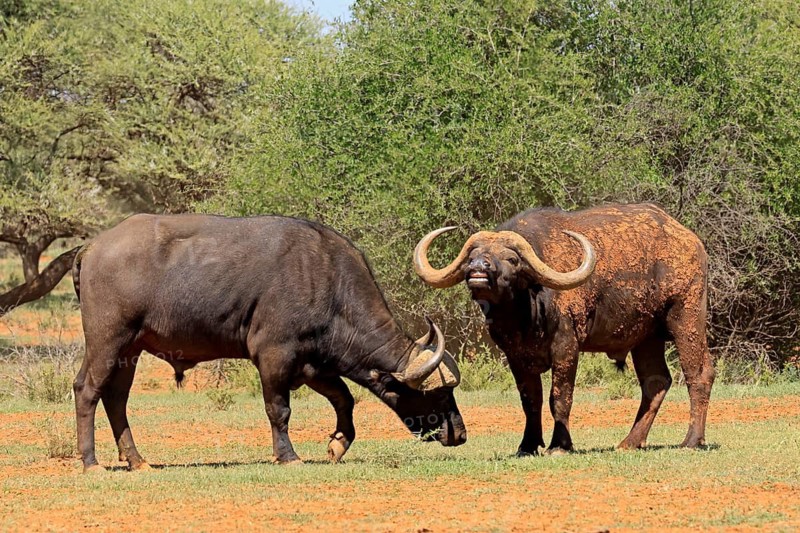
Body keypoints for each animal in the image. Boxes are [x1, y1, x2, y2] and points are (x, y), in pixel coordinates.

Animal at [72, 214, 465, 472]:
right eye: (439, 394)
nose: (460, 435)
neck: (326, 280)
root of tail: (92, 247)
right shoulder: (275, 357)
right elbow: (279, 410)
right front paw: (288, 456)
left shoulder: (313, 365)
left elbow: (345, 400)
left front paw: (337, 444)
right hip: (108, 340)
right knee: (88, 391)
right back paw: (91, 463)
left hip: (128, 350)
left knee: (113, 396)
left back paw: (137, 460)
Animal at [414, 203, 714, 455]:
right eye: (472, 256)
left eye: (511, 259)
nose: (478, 268)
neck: (526, 314)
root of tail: (691, 241)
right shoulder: (515, 356)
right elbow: (530, 400)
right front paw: (528, 445)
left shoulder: (566, 348)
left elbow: (560, 397)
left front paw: (560, 445)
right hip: (646, 338)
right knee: (656, 382)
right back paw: (630, 442)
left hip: (686, 317)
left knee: (699, 374)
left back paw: (691, 440)